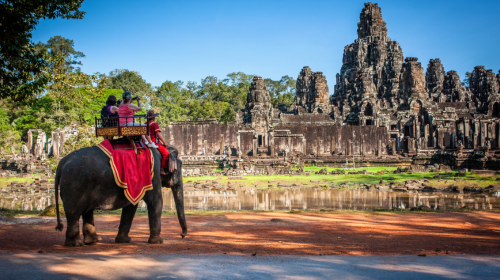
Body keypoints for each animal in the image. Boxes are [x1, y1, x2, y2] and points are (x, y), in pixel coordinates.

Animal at [53, 145, 186, 246]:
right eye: (179, 167)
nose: (182, 235)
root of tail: (62, 162)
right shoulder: (152, 173)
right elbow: (156, 201)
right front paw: (158, 242)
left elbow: (131, 206)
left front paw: (124, 241)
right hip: (74, 185)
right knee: (74, 213)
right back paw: (76, 244)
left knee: (86, 211)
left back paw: (93, 241)